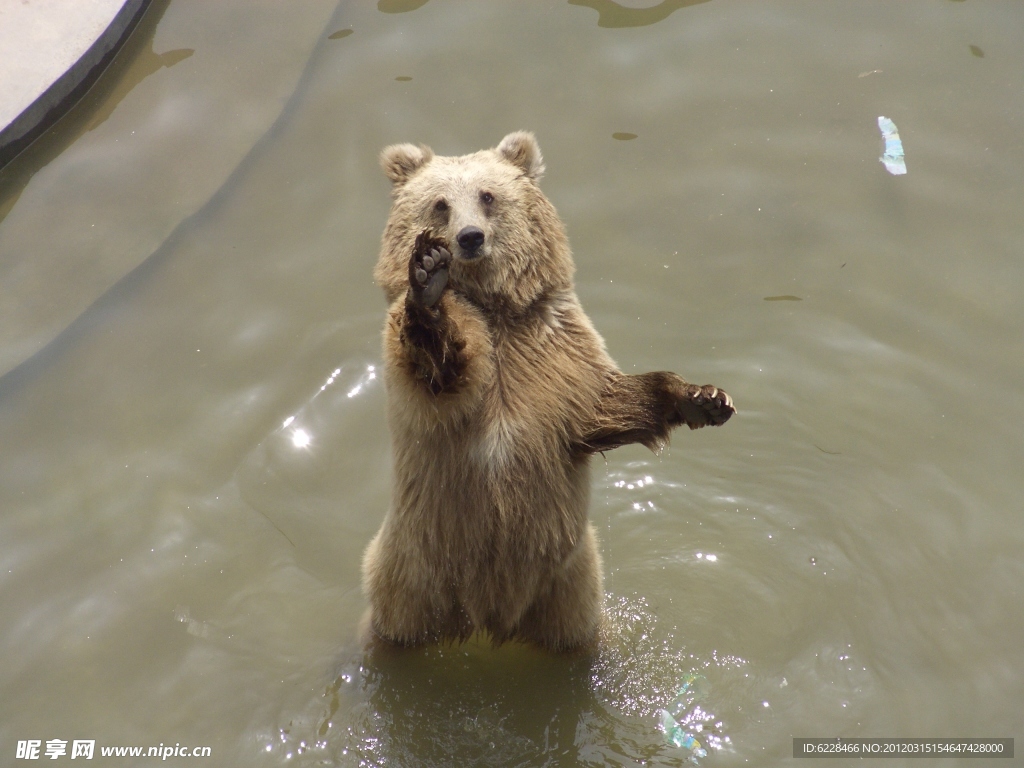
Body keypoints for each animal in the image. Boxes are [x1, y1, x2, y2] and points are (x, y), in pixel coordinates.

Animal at [364, 135, 733, 651]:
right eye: (440, 203)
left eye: (488, 195)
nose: (469, 238)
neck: (496, 311)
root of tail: (488, 623)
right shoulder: (442, 379)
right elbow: (434, 365)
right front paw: (429, 276)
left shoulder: (555, 351)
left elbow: (602, 405)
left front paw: (705, 399)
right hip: (409, 582)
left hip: (570, 593)